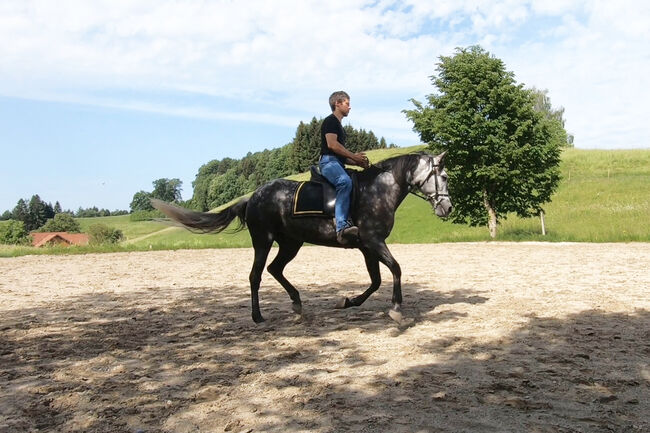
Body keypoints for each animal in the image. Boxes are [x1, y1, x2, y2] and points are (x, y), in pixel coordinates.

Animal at [151, 150, 450, 322]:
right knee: (256, 275)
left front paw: (348, 301)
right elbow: (395, 269)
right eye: (445, 176)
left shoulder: (367, 246)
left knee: (275, 269)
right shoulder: (373, 241)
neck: (377, 190)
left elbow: (376, 280)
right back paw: (258, 316)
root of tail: (253, 196)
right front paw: (397, 309)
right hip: (263, 240)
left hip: (291, 243)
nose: (447, 208)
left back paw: (296, 303)